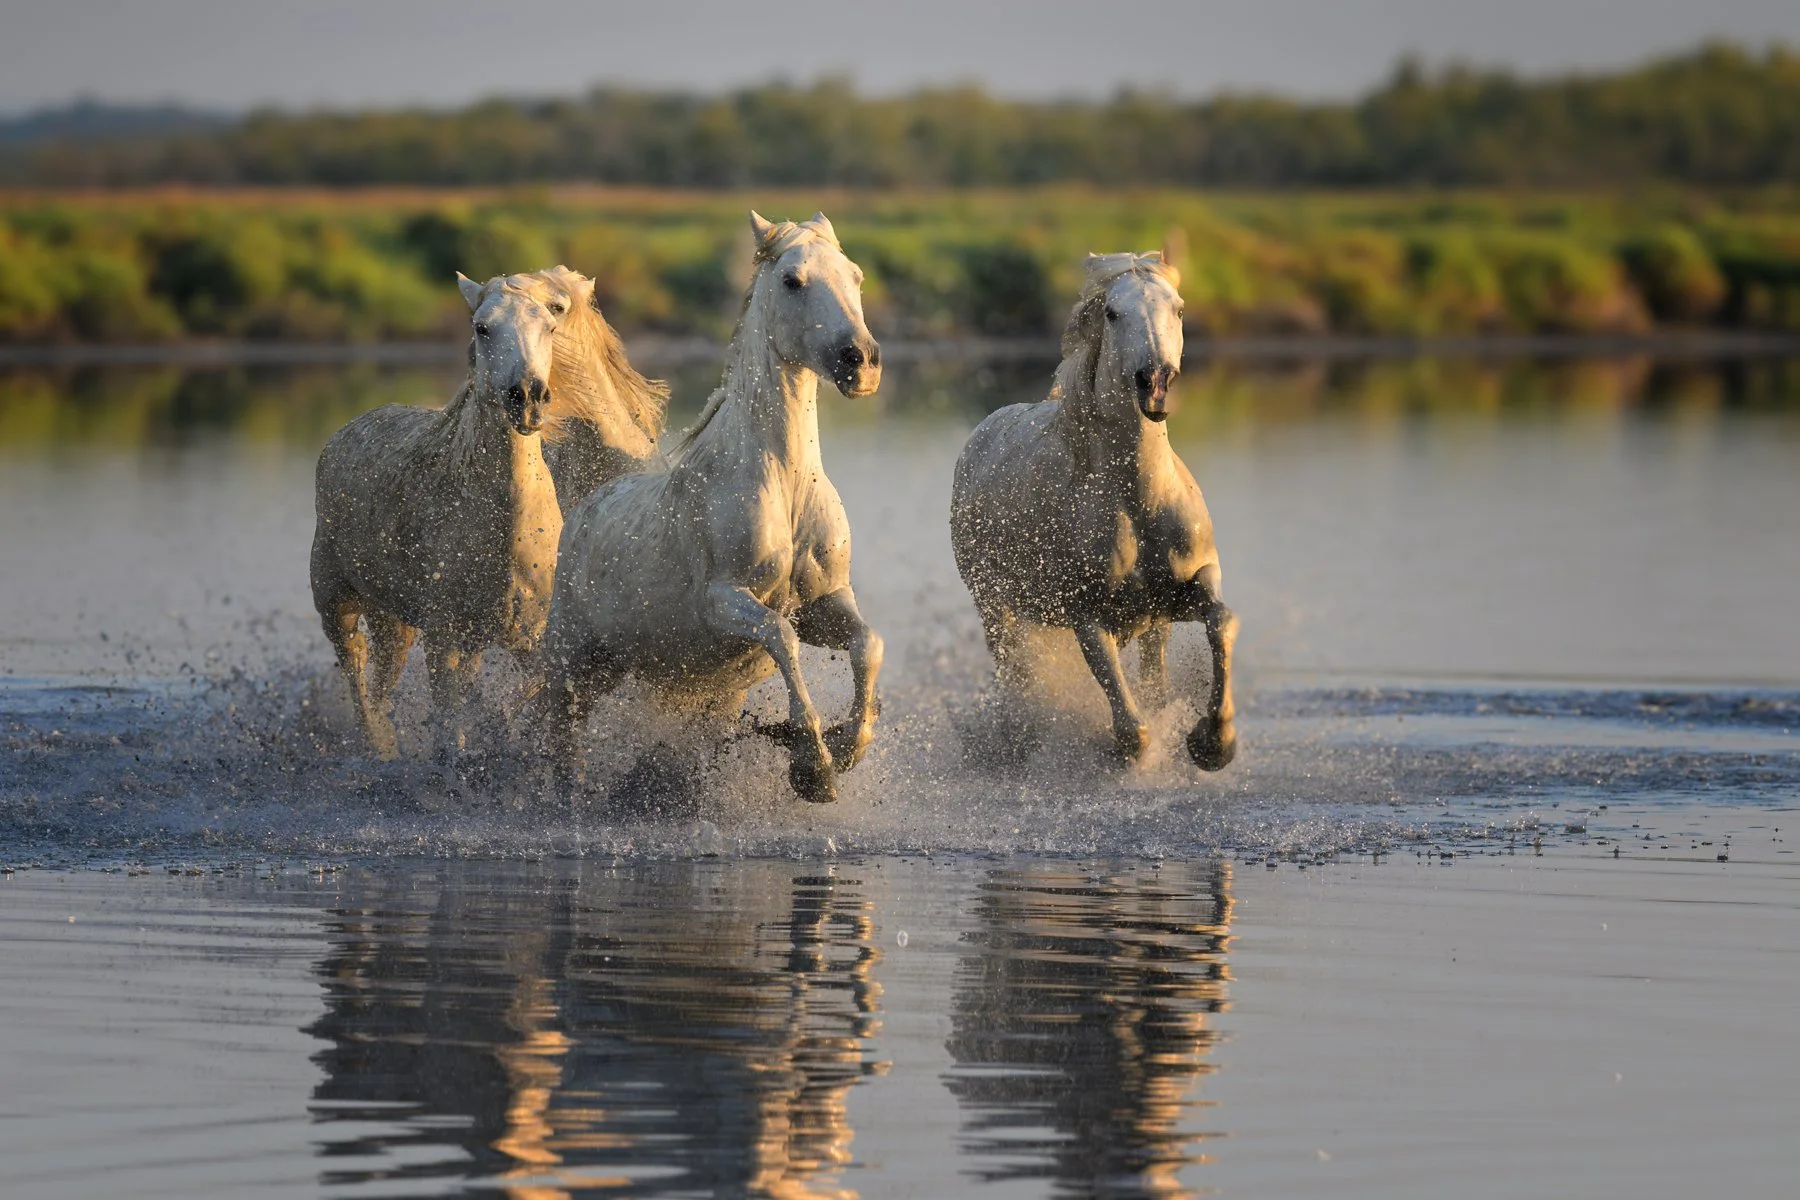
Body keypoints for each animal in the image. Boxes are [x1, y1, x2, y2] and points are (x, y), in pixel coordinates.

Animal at [311, 268, 589, 759]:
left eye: (551, 326)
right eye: (482, 327)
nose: (527, 398)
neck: (507, 532)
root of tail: (348, 429)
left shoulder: (533, 642)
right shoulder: (444, 639)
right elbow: (450, 730)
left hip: (397, 623)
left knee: (382, 687)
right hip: (337, 603)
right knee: (360, 681)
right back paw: (378, 749)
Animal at [538, 211, 885, 804]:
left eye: (856, 276)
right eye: (792, 280)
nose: (860, 362)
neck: (785, 485)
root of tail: (589, 502)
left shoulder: (825, 601)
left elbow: (868, 644)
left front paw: (846, 746)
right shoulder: (722, 601)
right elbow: (781, 636)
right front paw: (812, 763)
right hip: (574, 658)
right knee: (551, 726)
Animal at [949, 251, 1238, 770]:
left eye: (1179, 309)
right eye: (1113, 313)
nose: (1155, 382)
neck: (1138, 502)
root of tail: (984, 430)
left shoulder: (1191, 584)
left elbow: (1222, 622)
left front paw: (1213, 742)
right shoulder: (1086, 616)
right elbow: (1132, 731)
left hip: (1153, 623)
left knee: (1153, 671)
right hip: (995, 607)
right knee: (1015, 676)